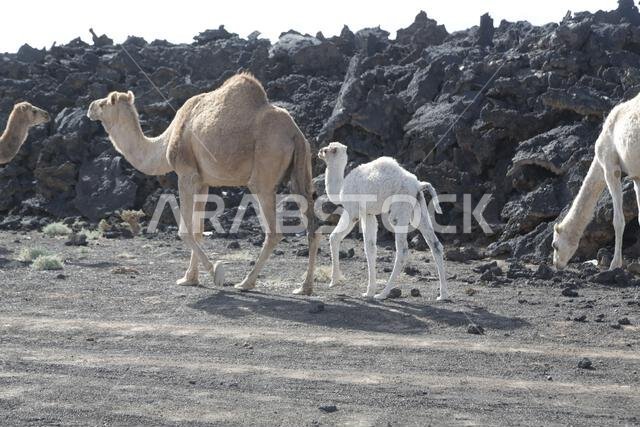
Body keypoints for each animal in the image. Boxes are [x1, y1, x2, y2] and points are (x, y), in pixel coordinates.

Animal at [87, 73, 319, 294]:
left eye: (105, 103)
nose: (90, 107)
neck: (166, 142)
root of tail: (295, 133)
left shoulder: (186, 173)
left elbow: (185, 230)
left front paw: (216, 273)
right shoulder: (203, 181)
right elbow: (197, 230)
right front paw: (190, 278)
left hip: (264, 171)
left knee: (274, 231)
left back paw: (246, 282)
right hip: (300, 173)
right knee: (312, 226)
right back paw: (304, 287)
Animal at [318, 142, 449, 300]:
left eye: (328, 150)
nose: (319, 151)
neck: (341, 189)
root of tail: (418, 185)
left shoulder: (354, 211)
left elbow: (345, 241)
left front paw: (362, 290)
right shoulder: (369, 214)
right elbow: (368, 247)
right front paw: (360, 288)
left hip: (399, 213)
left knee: (402, 250)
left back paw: (383, 293)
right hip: (419, 210)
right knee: (436, 245)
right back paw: (442, 295)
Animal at [553, 93, 640, 270]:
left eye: (555, 245)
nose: (556, 264)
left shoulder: (610, 166)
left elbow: (618, 220)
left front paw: (615, 264)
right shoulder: (636, 176)